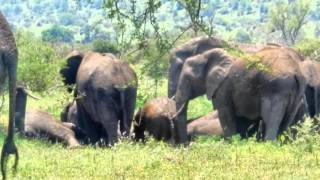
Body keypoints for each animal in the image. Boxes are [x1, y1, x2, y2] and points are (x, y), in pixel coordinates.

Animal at [174, 46, 306, 143]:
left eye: (188, 79)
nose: (185, 145)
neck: (206, 55)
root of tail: (296, 72)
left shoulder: (222, 87)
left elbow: (225, 114)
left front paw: (231, 144)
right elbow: (241, 120)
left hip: (276, 87)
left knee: (270, 120)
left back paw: (268, 144)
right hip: (297, 94)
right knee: (286, 121)